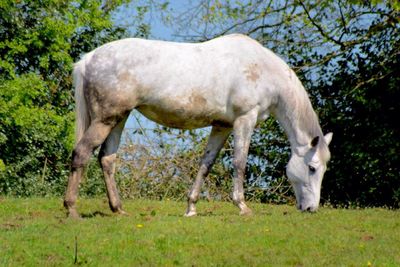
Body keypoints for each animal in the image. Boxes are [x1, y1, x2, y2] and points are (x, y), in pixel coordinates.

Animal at [65, 33, 332, 219]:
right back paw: (71, 209)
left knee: (107, 159)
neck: (263, 70)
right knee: (81, 153)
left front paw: (191, 208)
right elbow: (239, 163)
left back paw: (118, 209)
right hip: (106, 119)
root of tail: (88, 60)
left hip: (119, 118)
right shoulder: (245, 119)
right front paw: (242, 206)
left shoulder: (222, 126)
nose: (311, 208)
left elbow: (206, 165)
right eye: (312, 168)